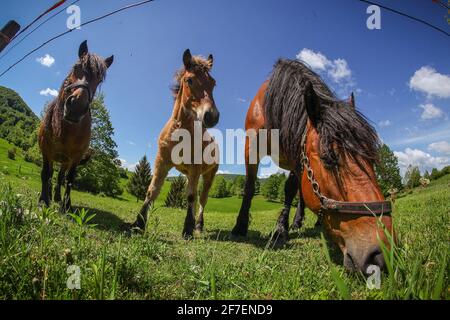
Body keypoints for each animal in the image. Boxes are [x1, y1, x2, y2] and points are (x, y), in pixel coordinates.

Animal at [38, 41, 114, 211]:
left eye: (99, 80)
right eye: (76, 67)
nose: (76, 107)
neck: (67, 130)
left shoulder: (76, 157)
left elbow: (69, 179)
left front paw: (66, 205)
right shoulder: (46, 151)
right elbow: (45, 174)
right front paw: (43, 201)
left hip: (65, 162)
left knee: (60, 177)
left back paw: (57, 197)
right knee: (51, 174)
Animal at [232, 60, 394, 276]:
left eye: (372, 159)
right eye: (328, 158)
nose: (383, 253)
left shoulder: (295, 152)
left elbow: (291, 189)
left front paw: (282, 228)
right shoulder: (251, 147)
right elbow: (249, 187)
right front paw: (242, 226)